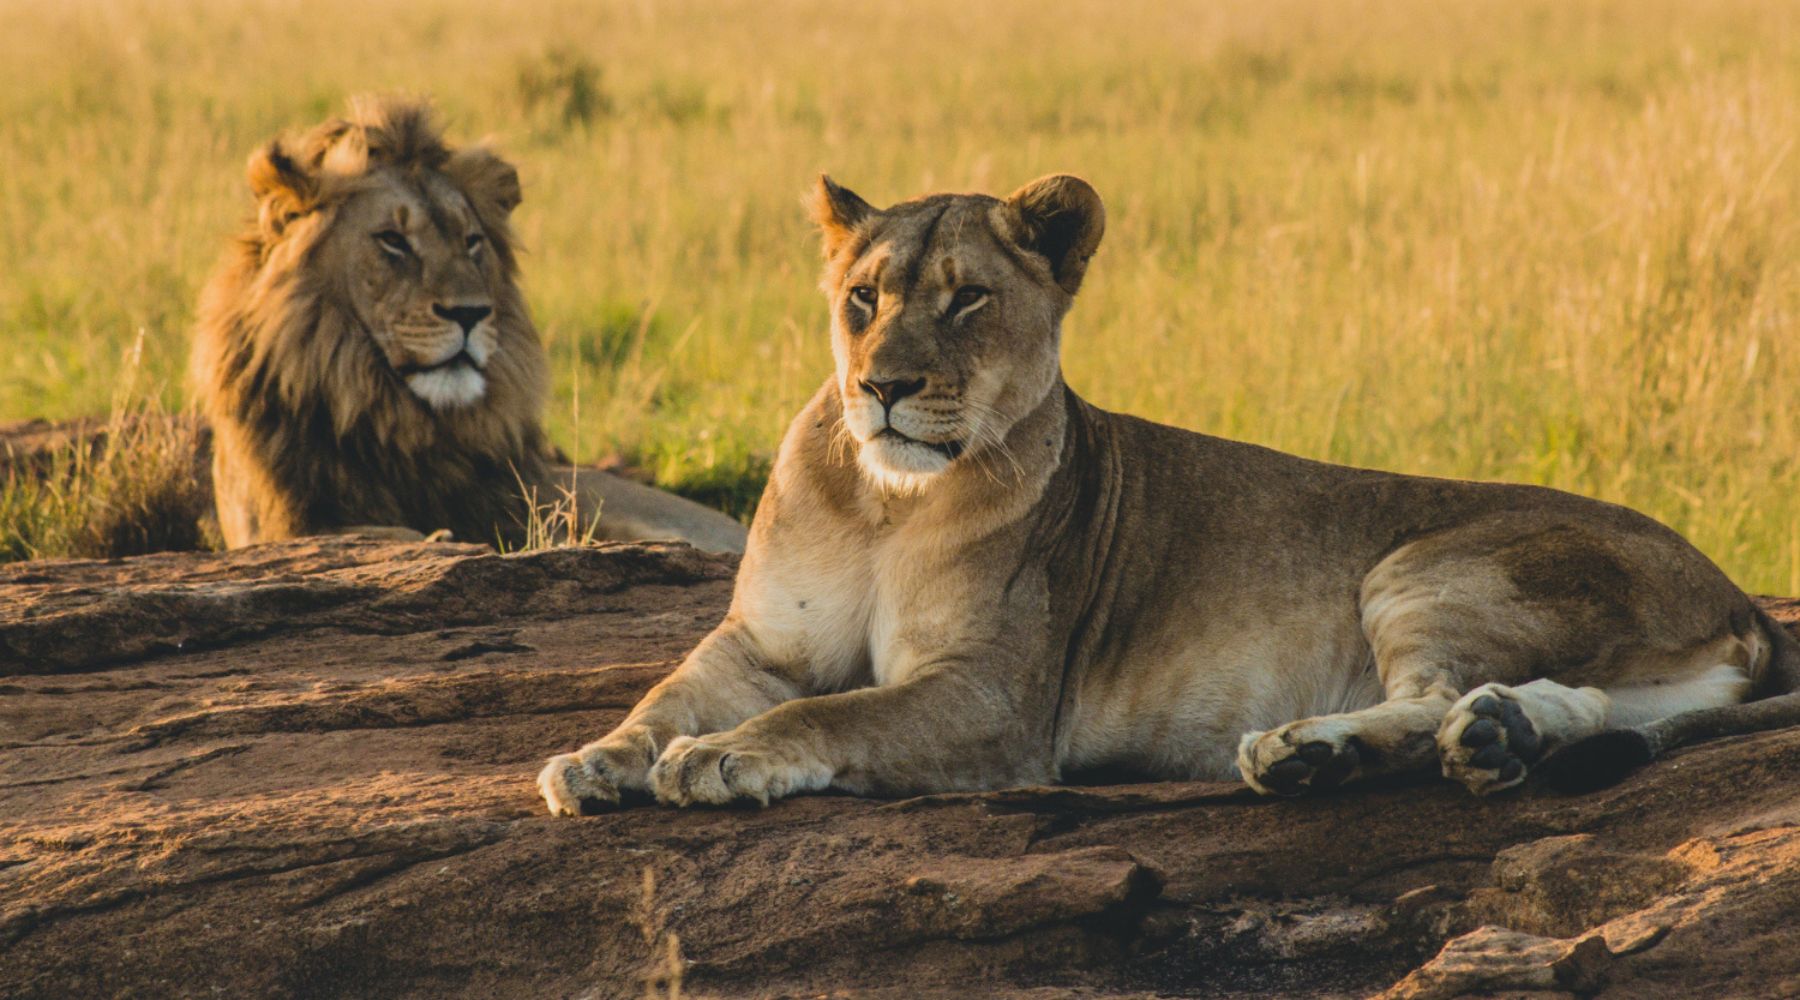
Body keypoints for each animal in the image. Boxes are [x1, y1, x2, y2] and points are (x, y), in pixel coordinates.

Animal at [191, 96, 746, 554]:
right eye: (393, 240)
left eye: (471, 240)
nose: (470, 313)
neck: (386, 415)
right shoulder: (278, 523)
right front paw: (433, 537)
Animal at [538, 173, 1800, 814]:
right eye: (863, 297)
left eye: (966, 299)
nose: (883, 387)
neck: (885, 501)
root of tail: (1740, 597)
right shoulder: (761, 641)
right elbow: (667, 693)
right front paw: (597, 760)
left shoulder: (994, 698)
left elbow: (827, 715)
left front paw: (719, 760)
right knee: (1562, 703)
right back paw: (1487, 737)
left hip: (1421, 563)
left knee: (1436, 693)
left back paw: (1312, 749)